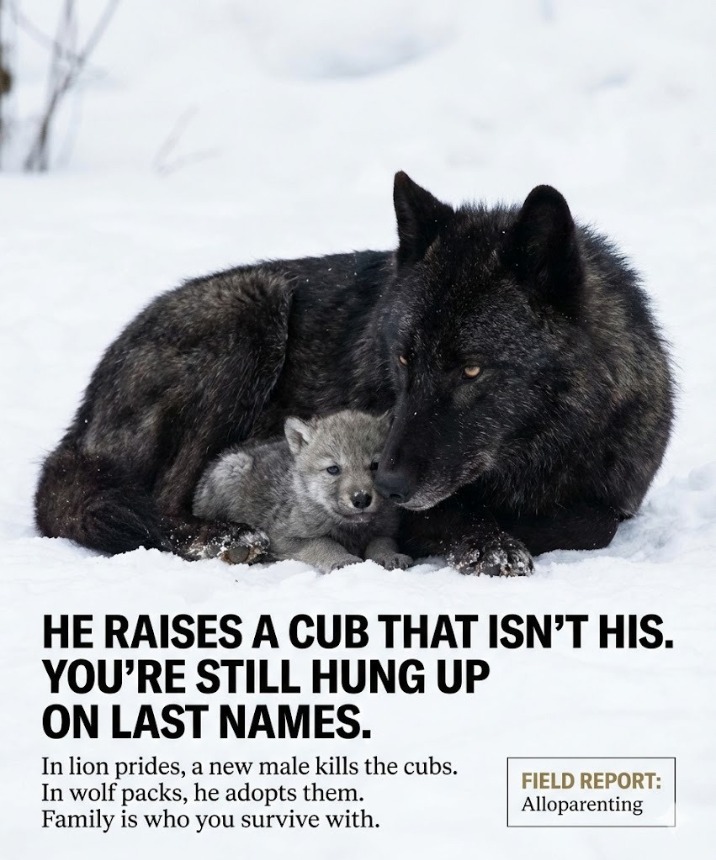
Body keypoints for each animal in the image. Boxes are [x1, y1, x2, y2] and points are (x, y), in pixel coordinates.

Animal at [193, 410, 412, 572]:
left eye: (375, 465)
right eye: (333, 469)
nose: (361, 499)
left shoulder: (387, 531)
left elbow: (381, 542)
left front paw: (390, 556)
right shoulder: (283, 537)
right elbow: (323, 542)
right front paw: (342, 558)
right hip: (232, 470)